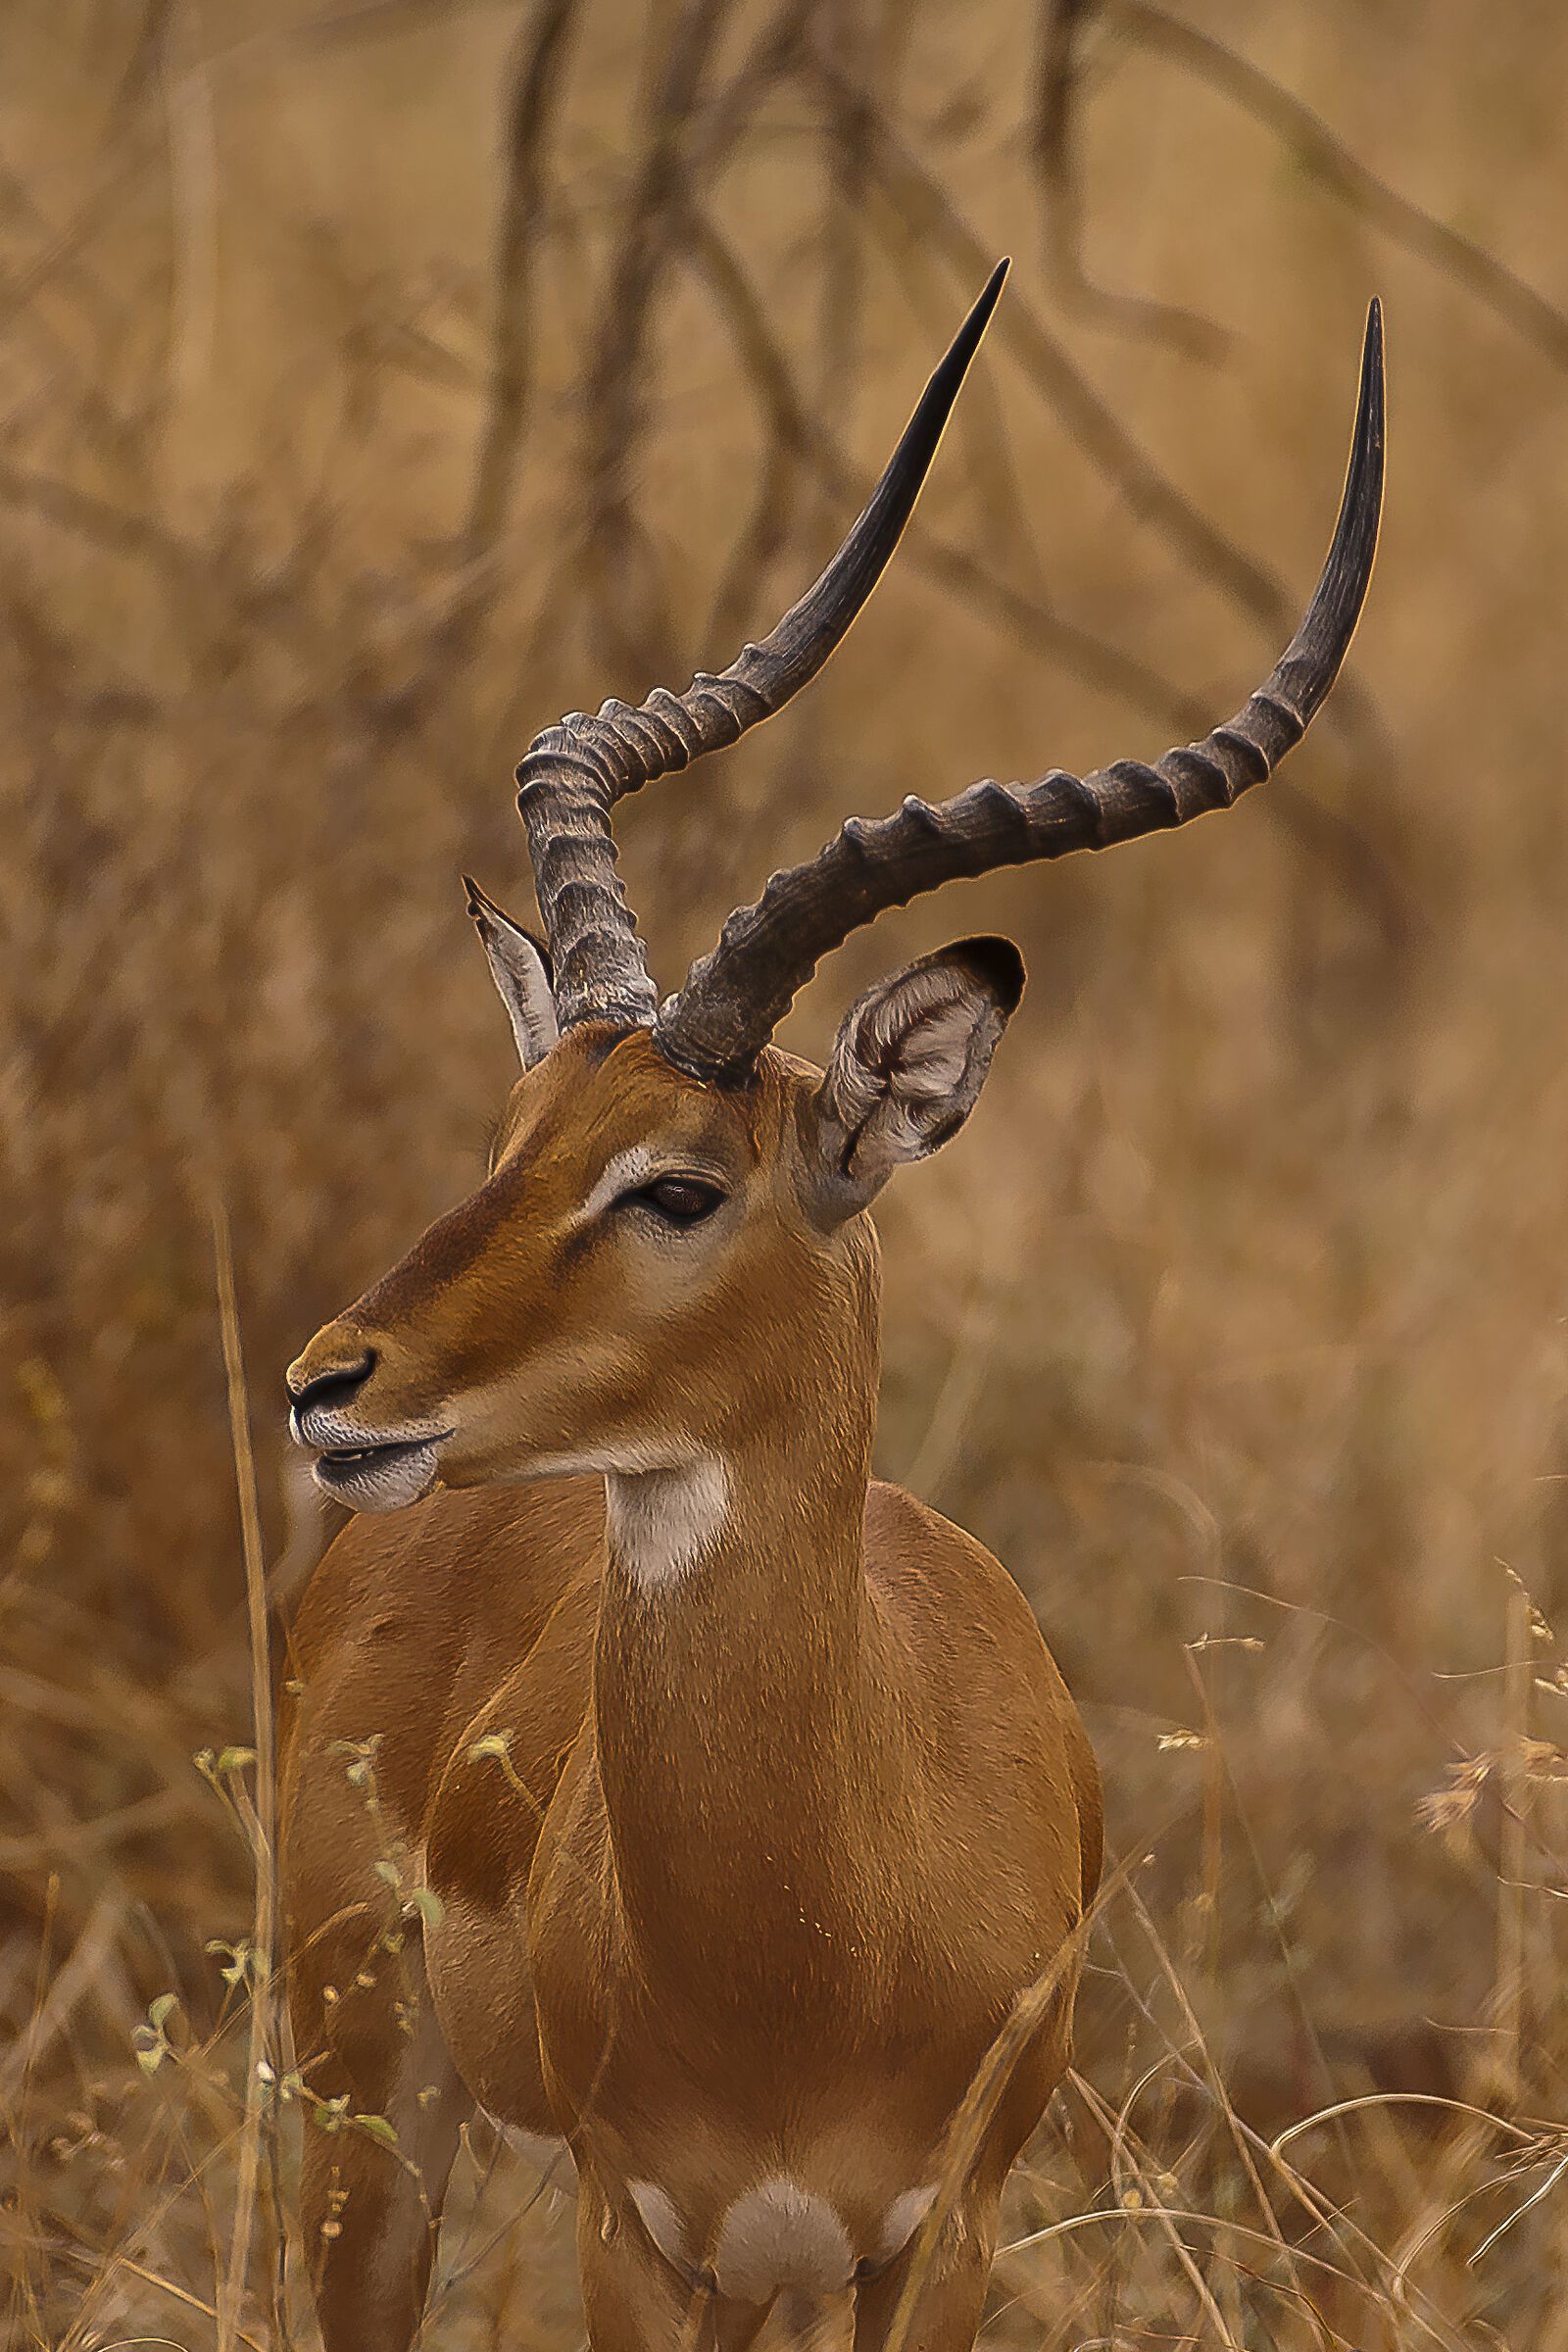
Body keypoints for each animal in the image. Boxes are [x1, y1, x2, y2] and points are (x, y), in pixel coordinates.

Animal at [281, 263, 1383, 2350]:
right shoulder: (630, 2230)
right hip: (371, 2116)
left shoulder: (931, 2242)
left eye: (675, 1185)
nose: (330, 1385)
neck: (827, 1914)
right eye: (513, 1135)